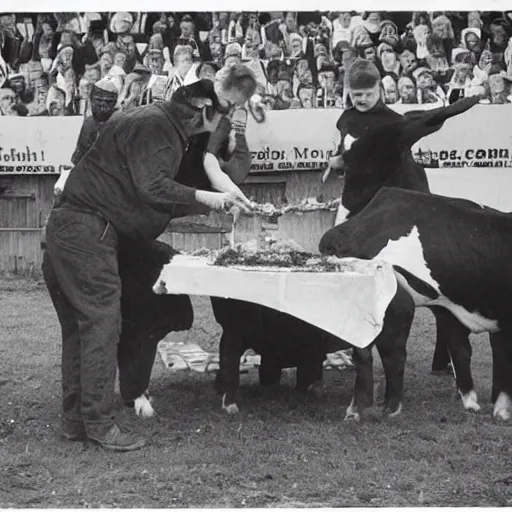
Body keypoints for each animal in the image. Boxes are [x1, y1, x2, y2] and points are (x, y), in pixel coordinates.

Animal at [320, 186, 512, 422]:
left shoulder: (455, 315)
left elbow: (466, 352)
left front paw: (479, 405)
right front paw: (501, 410)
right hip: (394, 308)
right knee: (391, 353)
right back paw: (385, 407)